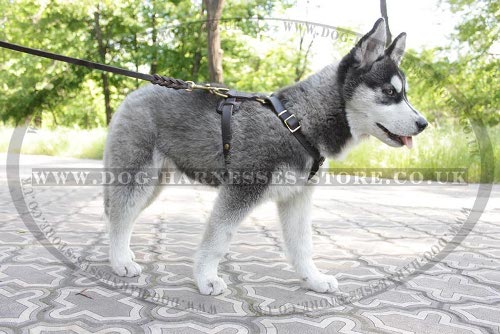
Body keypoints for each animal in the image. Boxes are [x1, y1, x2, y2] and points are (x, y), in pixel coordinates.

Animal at [103, 18, 428, 294]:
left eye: (404, 93)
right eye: (389, 92)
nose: (423, 124)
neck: (299, 122)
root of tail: (135, 94)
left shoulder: (298, 197)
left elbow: (302, 244)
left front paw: (313, 279)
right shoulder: (241, 189)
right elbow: (218, 238)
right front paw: (206, 278)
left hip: (156, 182)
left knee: (124, 215)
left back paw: (123, 254)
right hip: (138, 175)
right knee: (119, 215)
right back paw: (120, 261)